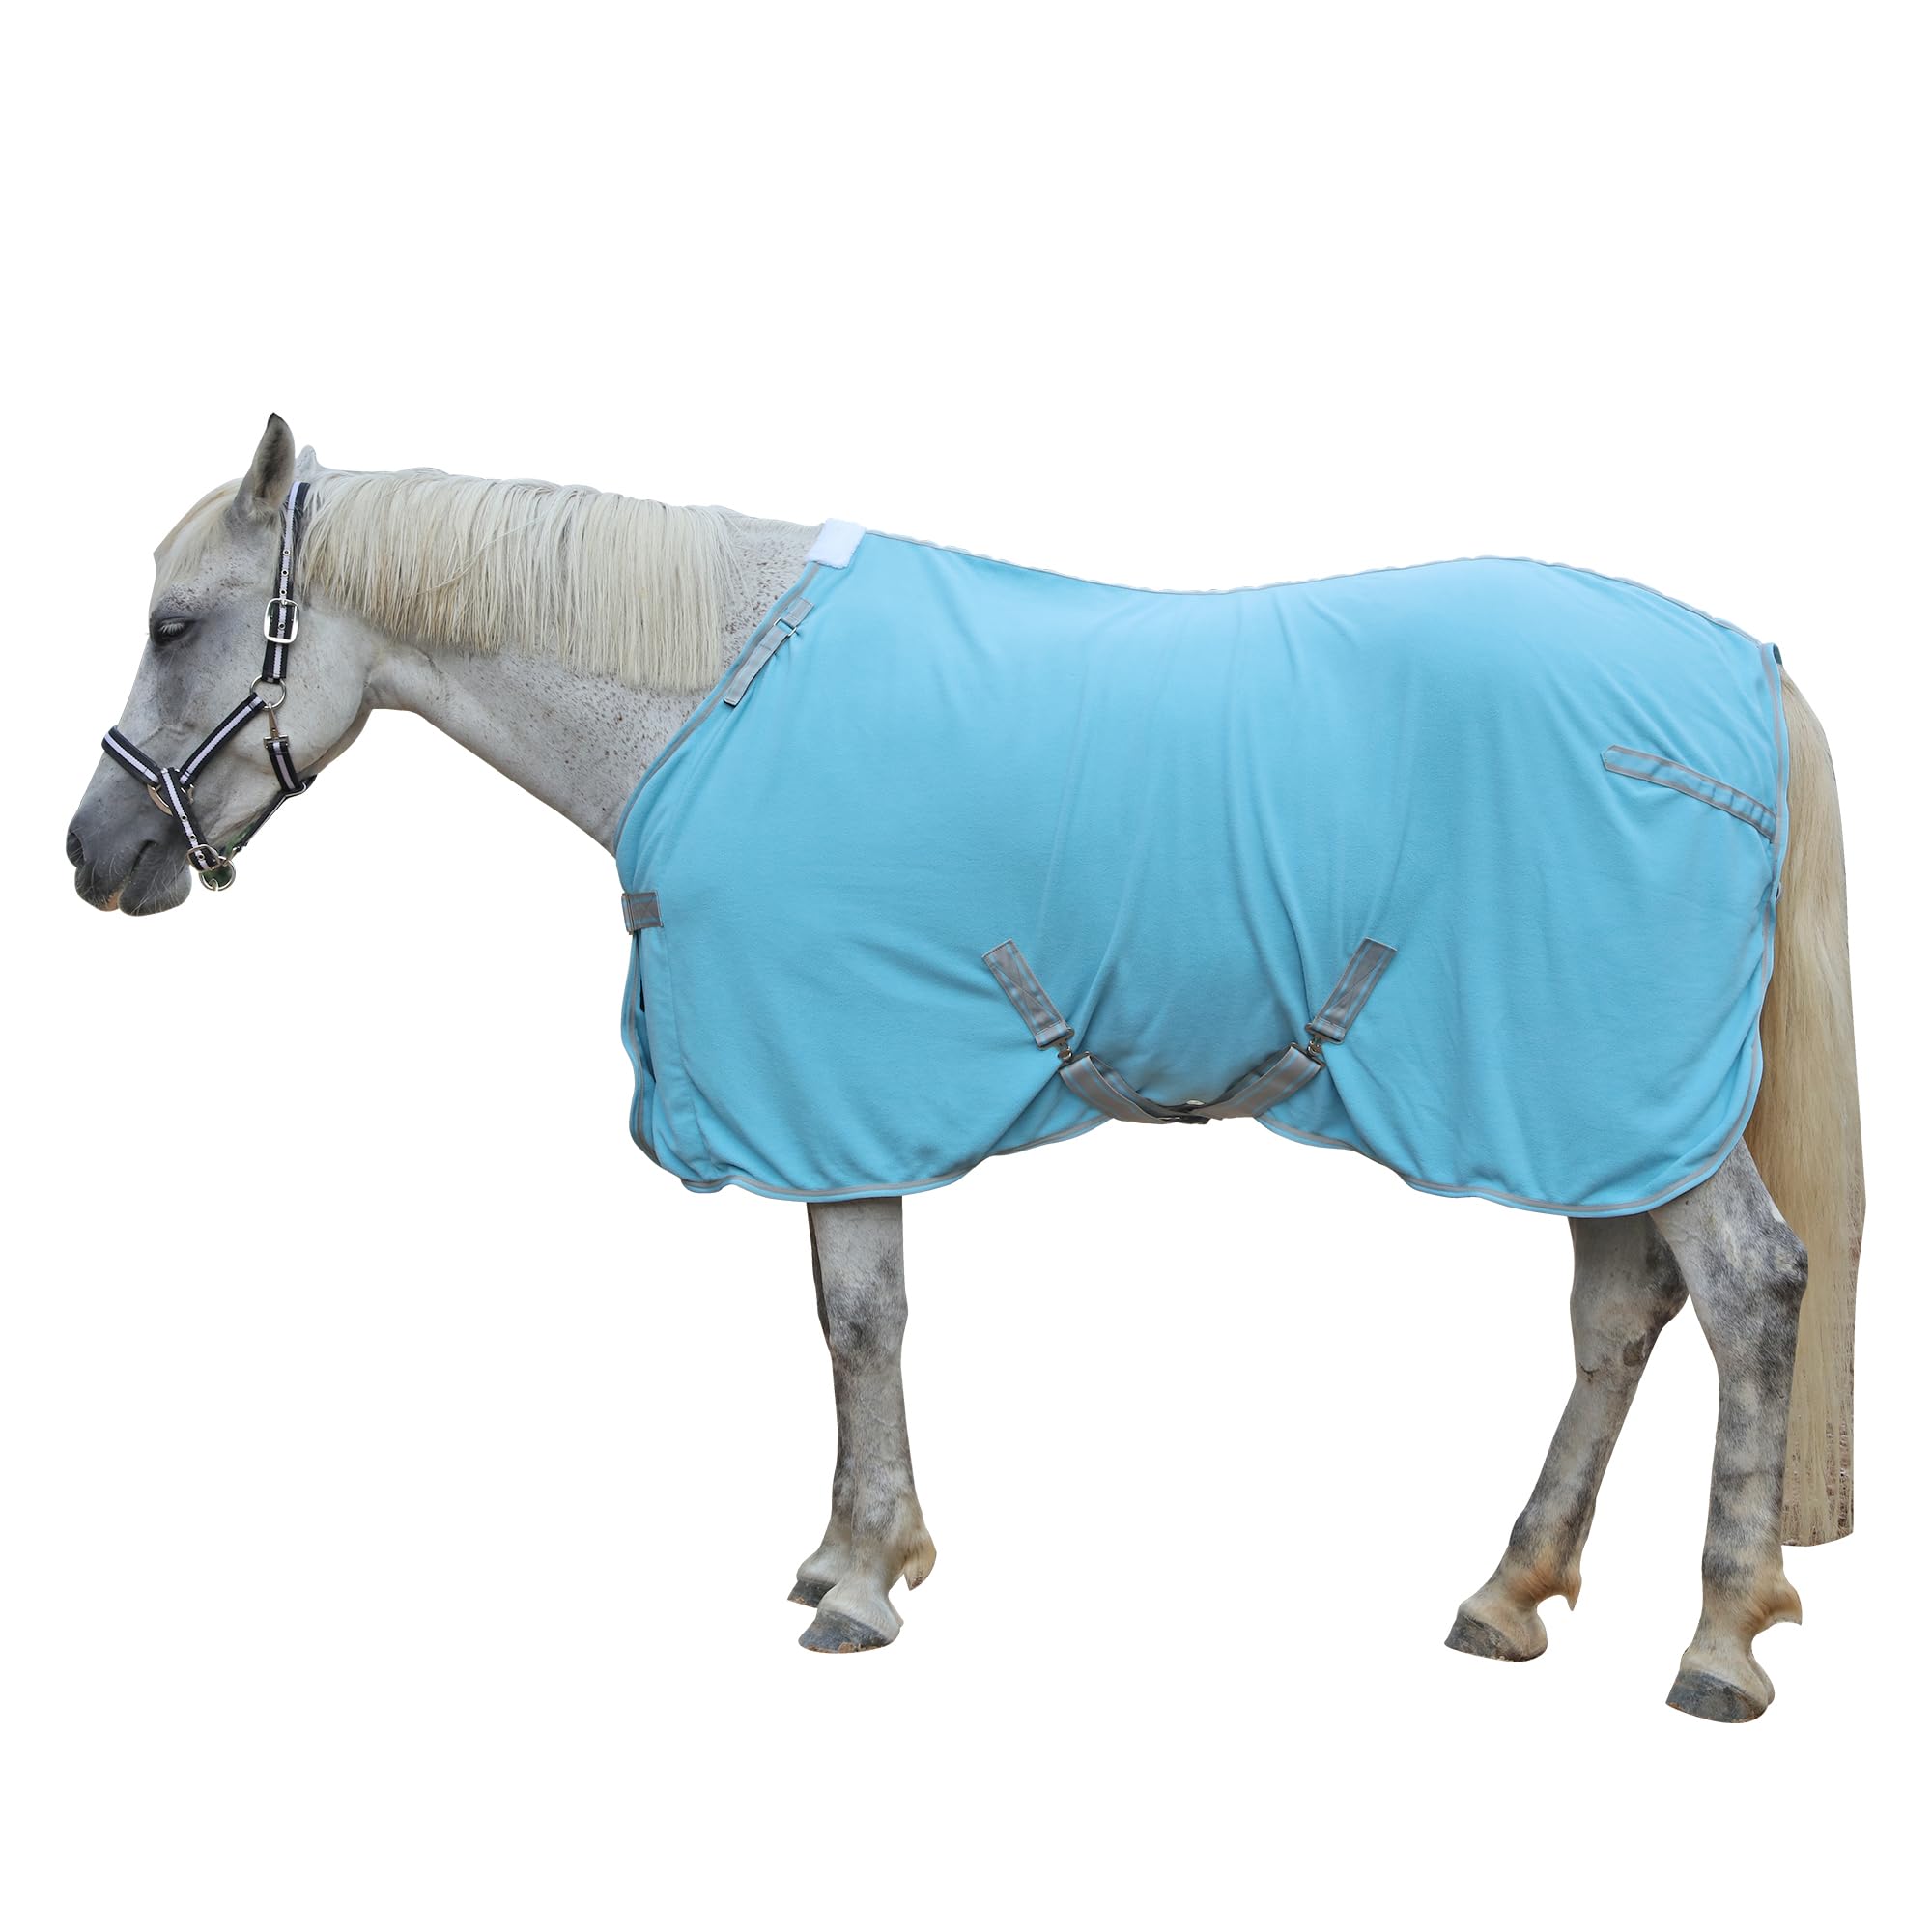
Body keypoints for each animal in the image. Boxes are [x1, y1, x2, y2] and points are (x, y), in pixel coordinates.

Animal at [67, 417, 1862, 1721]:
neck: (709, 694)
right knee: (1621, 1314)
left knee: (1751, 1288)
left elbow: (862, 1319)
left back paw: (1718, 1643)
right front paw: (844, 1553)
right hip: (1594, 1110)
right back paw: (1510, 1594)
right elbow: (841, 1317)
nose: (94, 855)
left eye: (174, 624)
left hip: (1619, 1094)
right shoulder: (833, 1093)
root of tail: (1747, 671)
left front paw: (861, 1581)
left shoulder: (837, 1080)